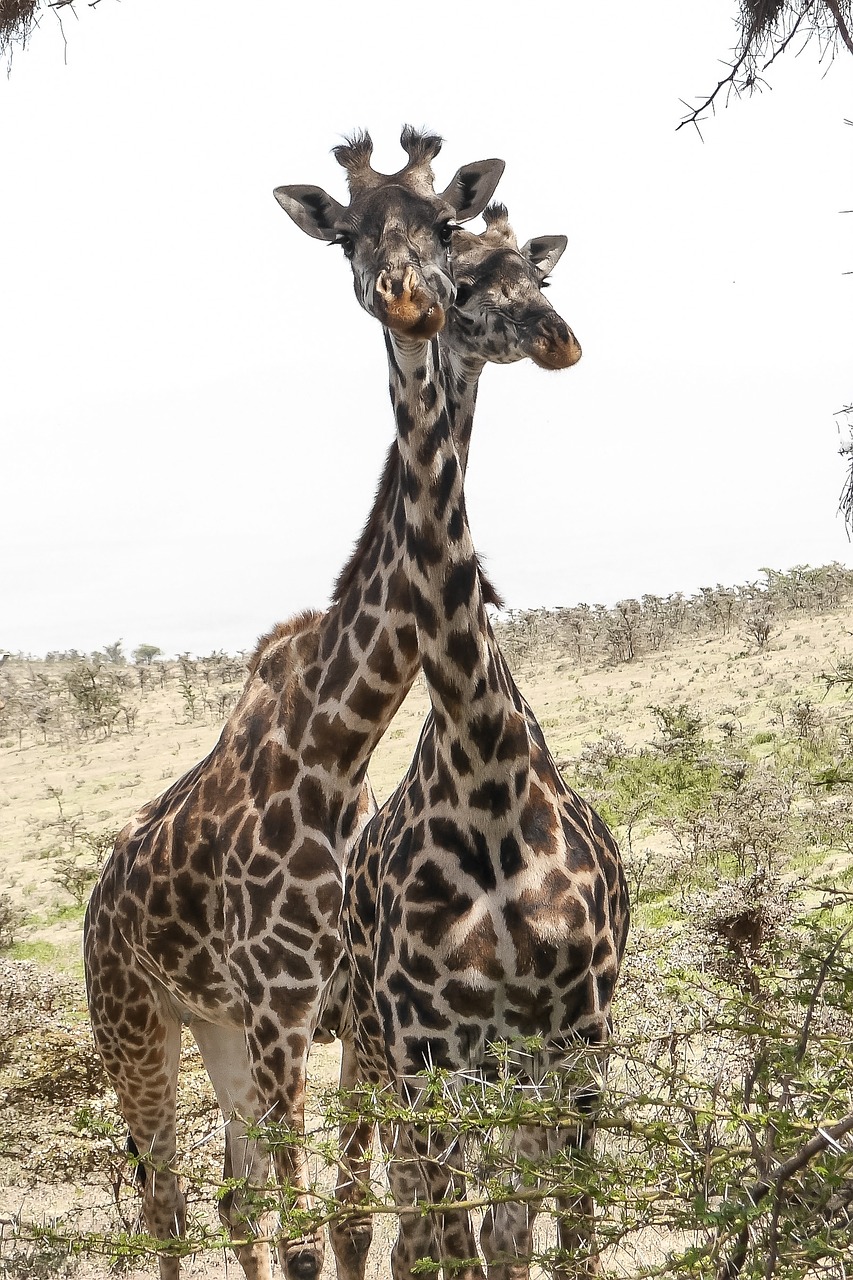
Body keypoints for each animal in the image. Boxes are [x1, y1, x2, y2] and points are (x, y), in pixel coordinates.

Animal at [81, 127, 502, 1280]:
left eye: (445, 221)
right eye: (346, 235)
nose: (411, 296)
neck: (337, 745)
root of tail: (93, 901)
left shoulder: (355, 1018)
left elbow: (354, 1221)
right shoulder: (282, 1011)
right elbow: (313, 1231)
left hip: (215, 1028)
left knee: (231, 1202)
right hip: (135, 1024)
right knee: (169, 1206)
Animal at [322, 209, 627, 1280]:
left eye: (535, 273)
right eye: (459, 275)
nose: (554, 335)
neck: (487, 763)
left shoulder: (577, 1037)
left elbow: (554, 1238)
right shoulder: (429, 1052)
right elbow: (451, 1239)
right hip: (374, 1044)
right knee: (386, 1214)